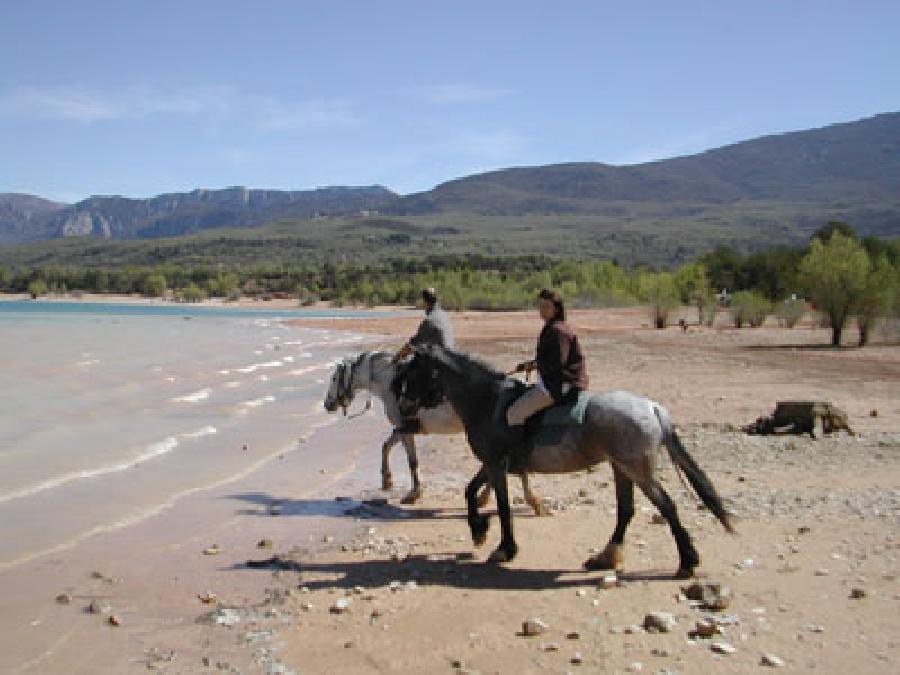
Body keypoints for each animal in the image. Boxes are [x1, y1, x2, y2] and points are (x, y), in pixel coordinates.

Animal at [324, 352, 548, 516]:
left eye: (334, 378)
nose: (327, 405)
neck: (392, 384)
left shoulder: (406, 429)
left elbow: (411, 461)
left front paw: (412, 494)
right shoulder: (405, 428)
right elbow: (386, 446)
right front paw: (387, 480)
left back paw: (527, 501)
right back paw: (486, 498)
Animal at [398, 346, 736, 580]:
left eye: (414, 373)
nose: (404, 409)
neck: (486, 402)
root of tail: (652, 408)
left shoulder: (496, 464)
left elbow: (503, 507)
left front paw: (505, 548)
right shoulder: (492, 464)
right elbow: (470, 492)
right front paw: (479, 530)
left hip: (636, 470)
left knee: (667, 507)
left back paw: (687, 562)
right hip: (621, 468)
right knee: (626, 511)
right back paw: (605, 558)